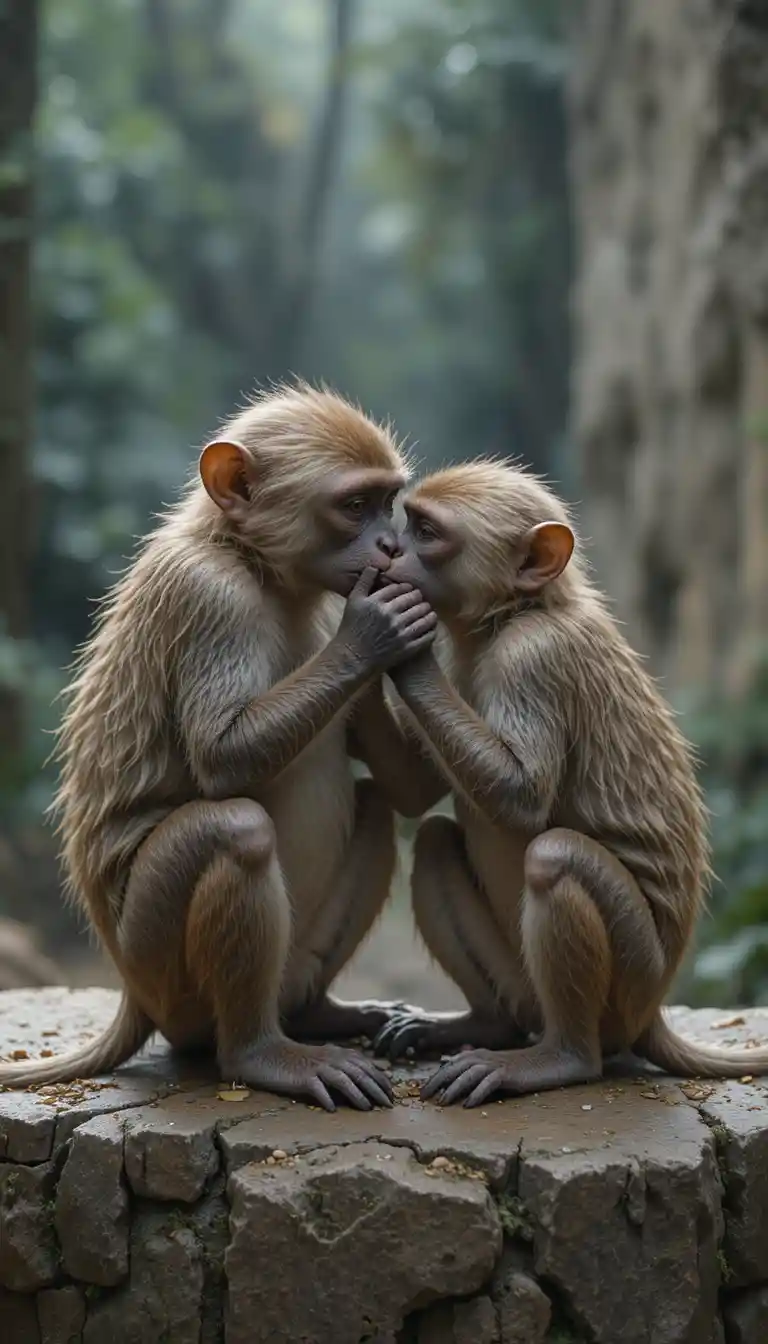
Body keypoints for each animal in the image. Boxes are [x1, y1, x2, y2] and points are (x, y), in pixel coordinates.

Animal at [0, 386, 442, 1112]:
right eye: (355, 505)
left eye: (388, 504)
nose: (388, 543)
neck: (254, 564)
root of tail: (132, 997)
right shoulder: (210, 596)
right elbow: (221, 759)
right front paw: (373, 632)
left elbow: (408, 790)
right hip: (160, 971)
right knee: (233, 830)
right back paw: (256, 1053)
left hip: (278, 968)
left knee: (374, 804)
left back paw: (317, 1014)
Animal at [373, 460, 768, 1105]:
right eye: (407, 523)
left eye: (426, 532)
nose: (391, 553)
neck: (515, 613)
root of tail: (653, 1014)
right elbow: (414, 794)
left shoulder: (533, 658)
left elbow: (523, 800)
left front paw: (397, 640)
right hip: (523, 984)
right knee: (433, 842)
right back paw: (487, 1024)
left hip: (631, 984)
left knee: (556, 857)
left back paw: (563, 1059)